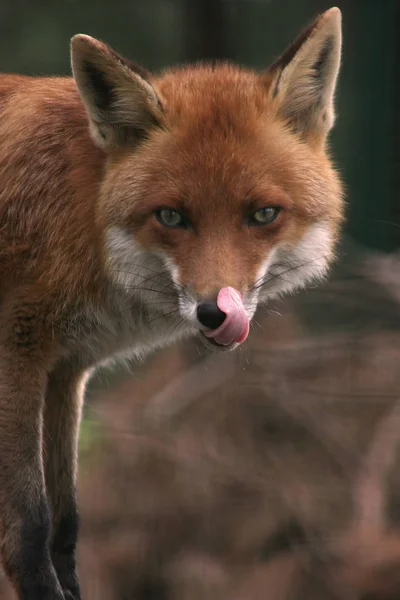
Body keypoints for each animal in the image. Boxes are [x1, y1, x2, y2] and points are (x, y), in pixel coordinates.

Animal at [0, 5, 344, 600]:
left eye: (263, 214)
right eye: (171, 216)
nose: (215, 312)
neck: (79, 217)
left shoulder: (65, 370)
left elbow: (65, 526)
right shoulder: (16, 353)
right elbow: (29, 529)